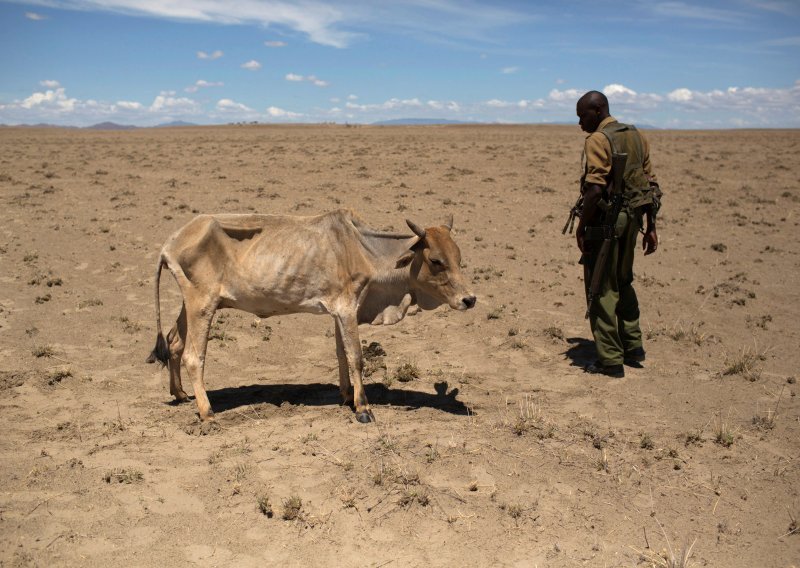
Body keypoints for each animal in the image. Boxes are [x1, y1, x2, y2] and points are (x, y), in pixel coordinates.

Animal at [145, 209, 476, 422]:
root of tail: (170, 242)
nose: (469, 299)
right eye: (436, 260)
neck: (364, 250)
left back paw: (180, 394)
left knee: (173, 343)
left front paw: (346, 396)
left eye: (459, 257)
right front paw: (363, 408)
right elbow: (356, 357)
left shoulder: (340, 312)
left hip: (191, 306)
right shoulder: (347, 307)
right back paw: (207, 412)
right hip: (202, 304)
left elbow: (342, 354)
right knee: (192, 356)